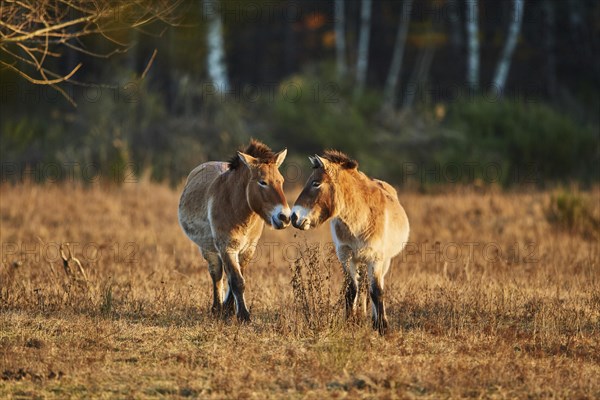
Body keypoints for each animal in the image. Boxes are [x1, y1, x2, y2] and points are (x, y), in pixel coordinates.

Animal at [178, 141, 290, 322]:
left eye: (281, 181)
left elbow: (237, 278)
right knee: (216, 273)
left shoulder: (248, 250)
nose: (285, 217)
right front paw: (243, 316)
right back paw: (216, 308)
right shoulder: (227, 247)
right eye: (262, 182)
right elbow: (236, 281)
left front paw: (231, 311)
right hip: (208, 249)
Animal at [292, 151, 412, 334]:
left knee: (376, 287)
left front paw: (382, 328)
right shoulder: (346, 257)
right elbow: (351, 290)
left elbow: (377, 291)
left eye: (316, 183)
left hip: (384, 261)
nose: (294, 217)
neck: (359, 219)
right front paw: (350, 323)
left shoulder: (375, 259)